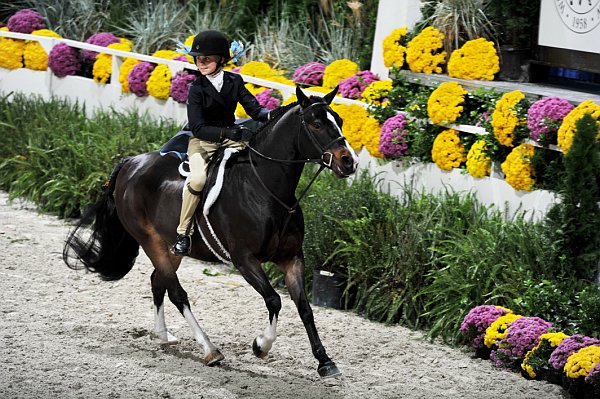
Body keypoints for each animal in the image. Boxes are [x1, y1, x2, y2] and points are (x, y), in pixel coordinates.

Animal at [63, 86, 358, 380]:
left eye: (340, 121)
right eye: (316, 124)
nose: (349, 162)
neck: (267, 190)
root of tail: (130, 163)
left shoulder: (292, 258)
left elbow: (305, 308)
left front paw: (325, 361)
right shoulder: (244, 259)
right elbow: (274, 300)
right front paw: (260, 346)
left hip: (170, 246)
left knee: (159, 281)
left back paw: (164, 336)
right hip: (150, 241)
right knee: (177, 292)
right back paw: (209, 349)